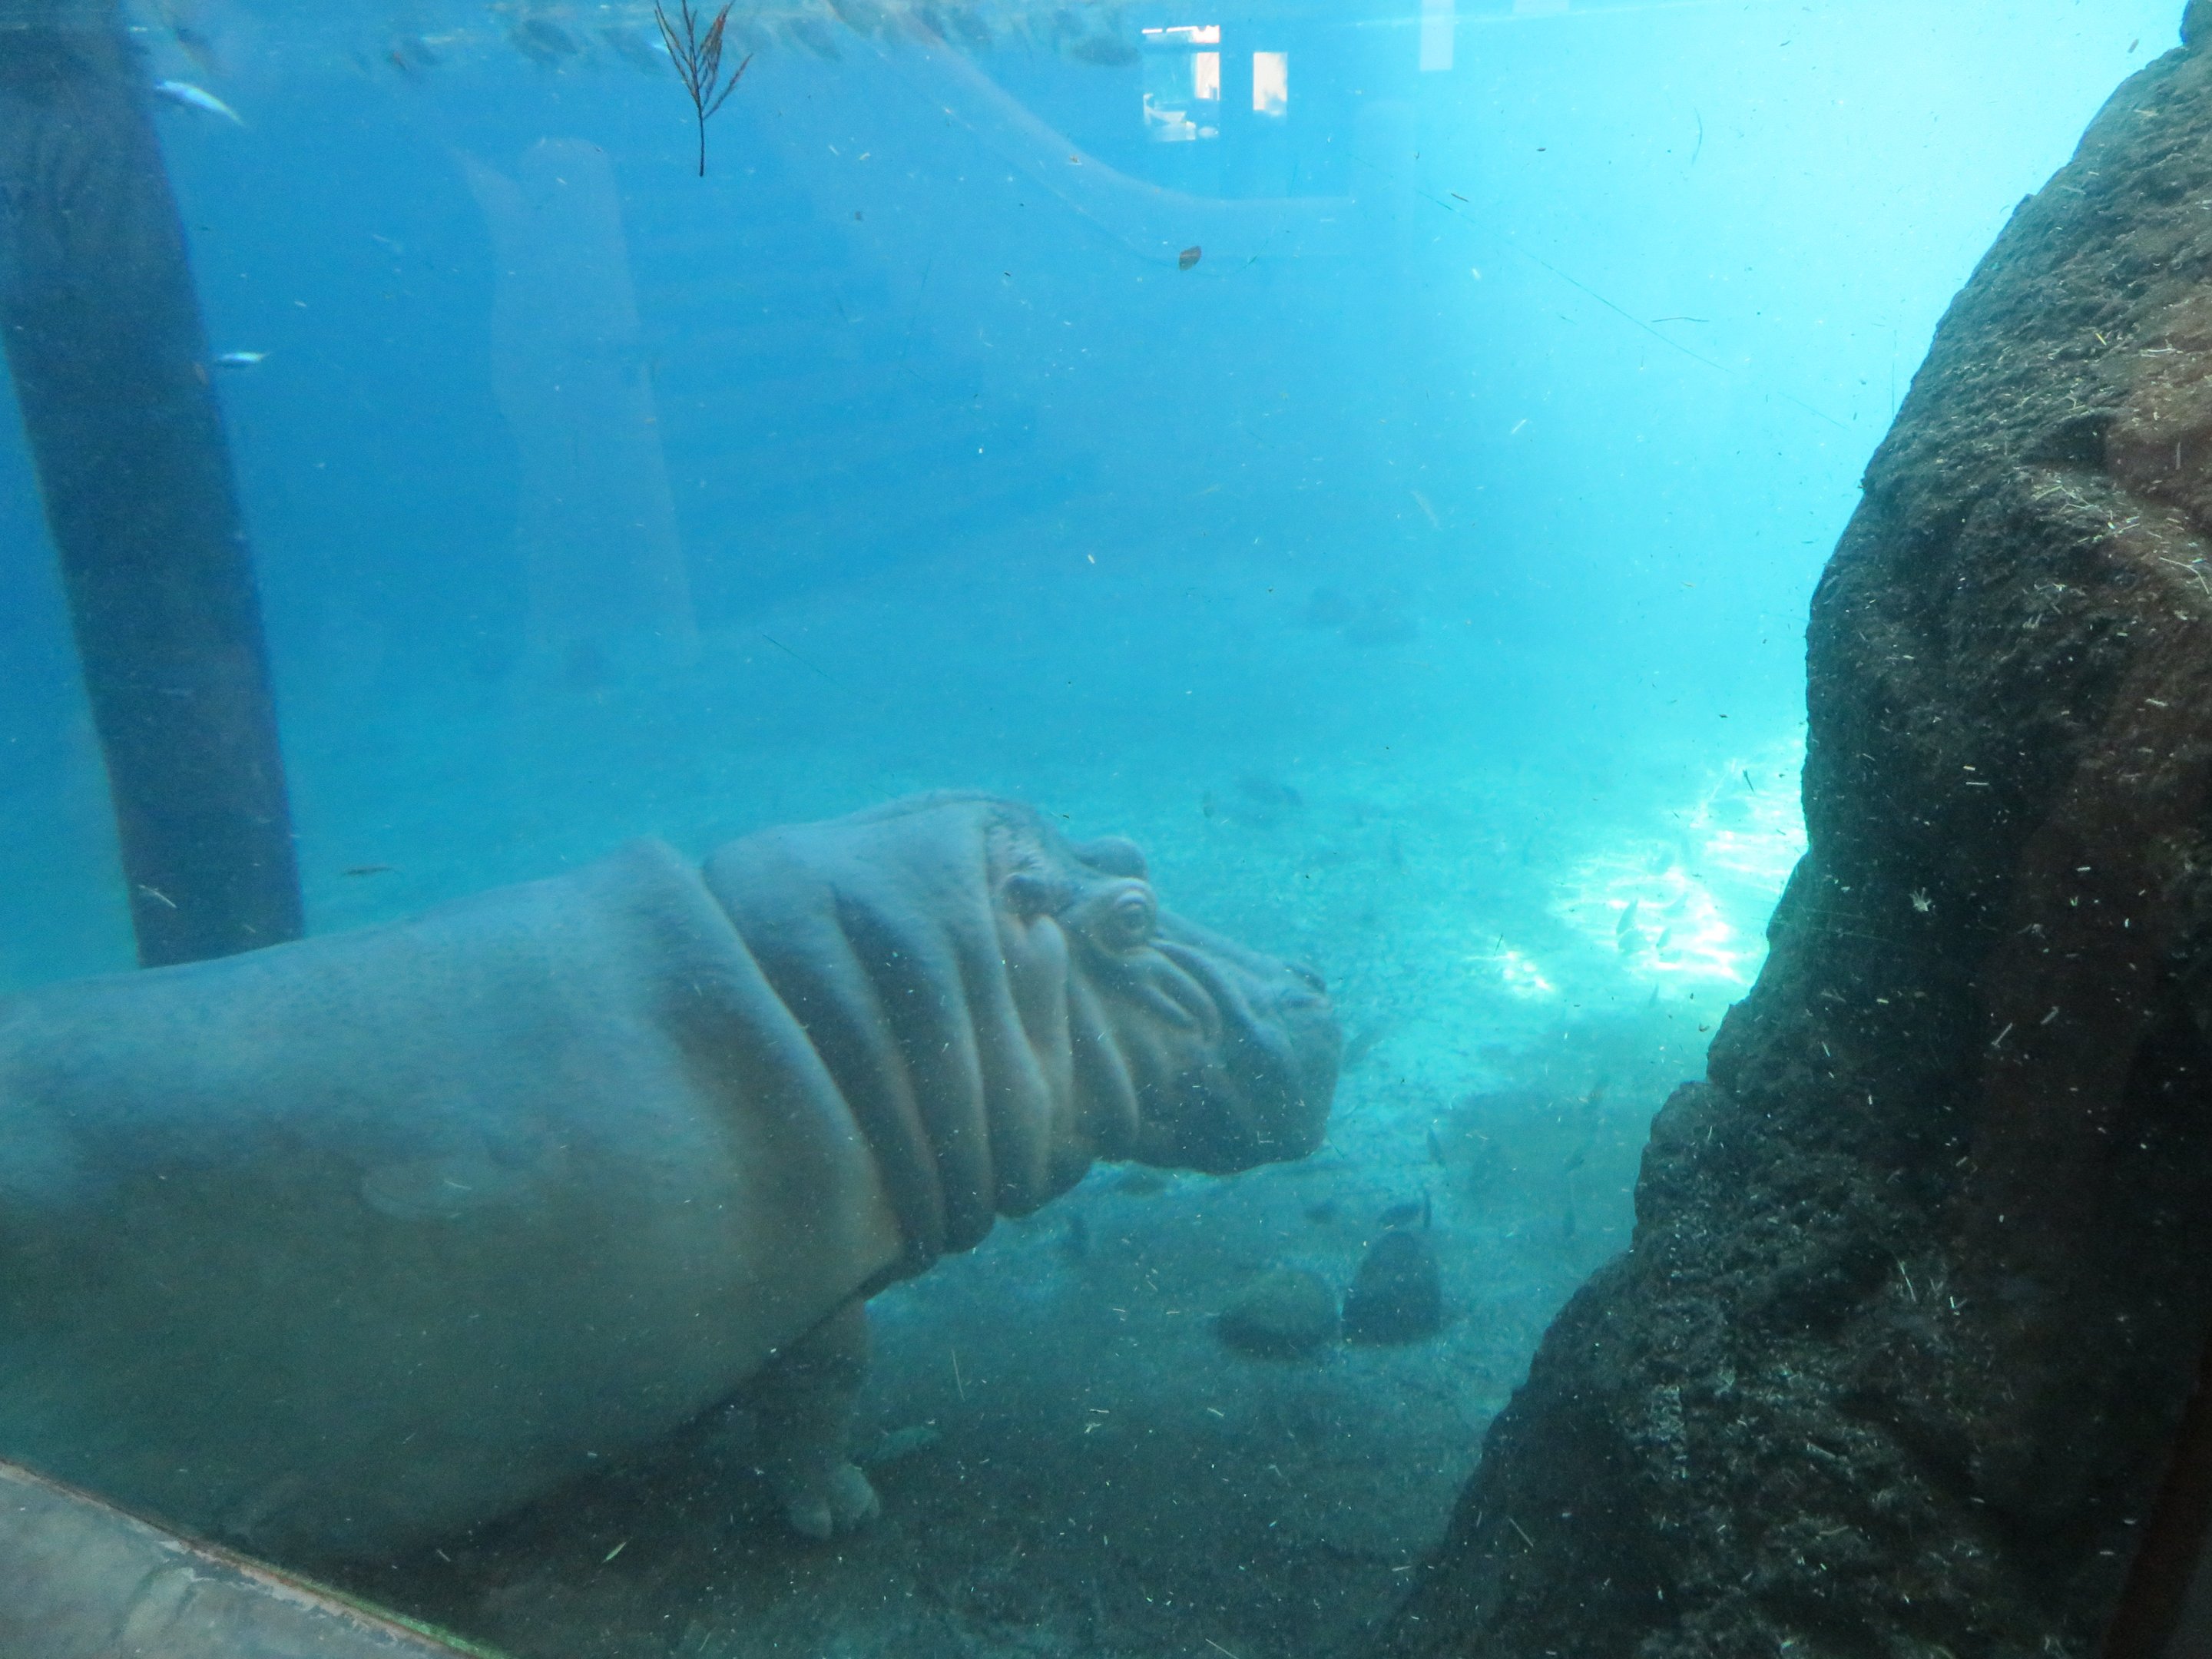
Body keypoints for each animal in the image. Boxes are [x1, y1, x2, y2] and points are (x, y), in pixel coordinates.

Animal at [0, 793, 1337, 1560]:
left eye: (1126, 844)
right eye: (1128, 918)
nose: (1313, 988)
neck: (855, 986)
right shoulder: (818, 1279)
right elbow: (822, 1392)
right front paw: (846, 1506)